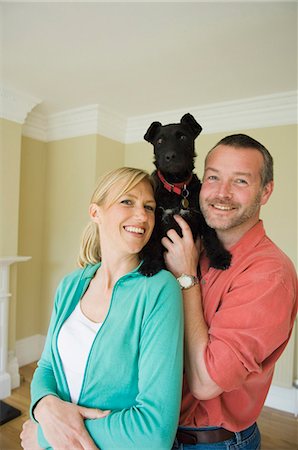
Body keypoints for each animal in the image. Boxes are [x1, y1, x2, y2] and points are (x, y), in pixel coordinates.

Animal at [139, 113, 232, 274]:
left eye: (183, 137)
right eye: (159, 141)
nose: (170, 156)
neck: (177, 186)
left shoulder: (202, 216)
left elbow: (211, 237)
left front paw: (220, 258)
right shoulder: (152, 218)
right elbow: (152, 243)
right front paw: (150, 264)